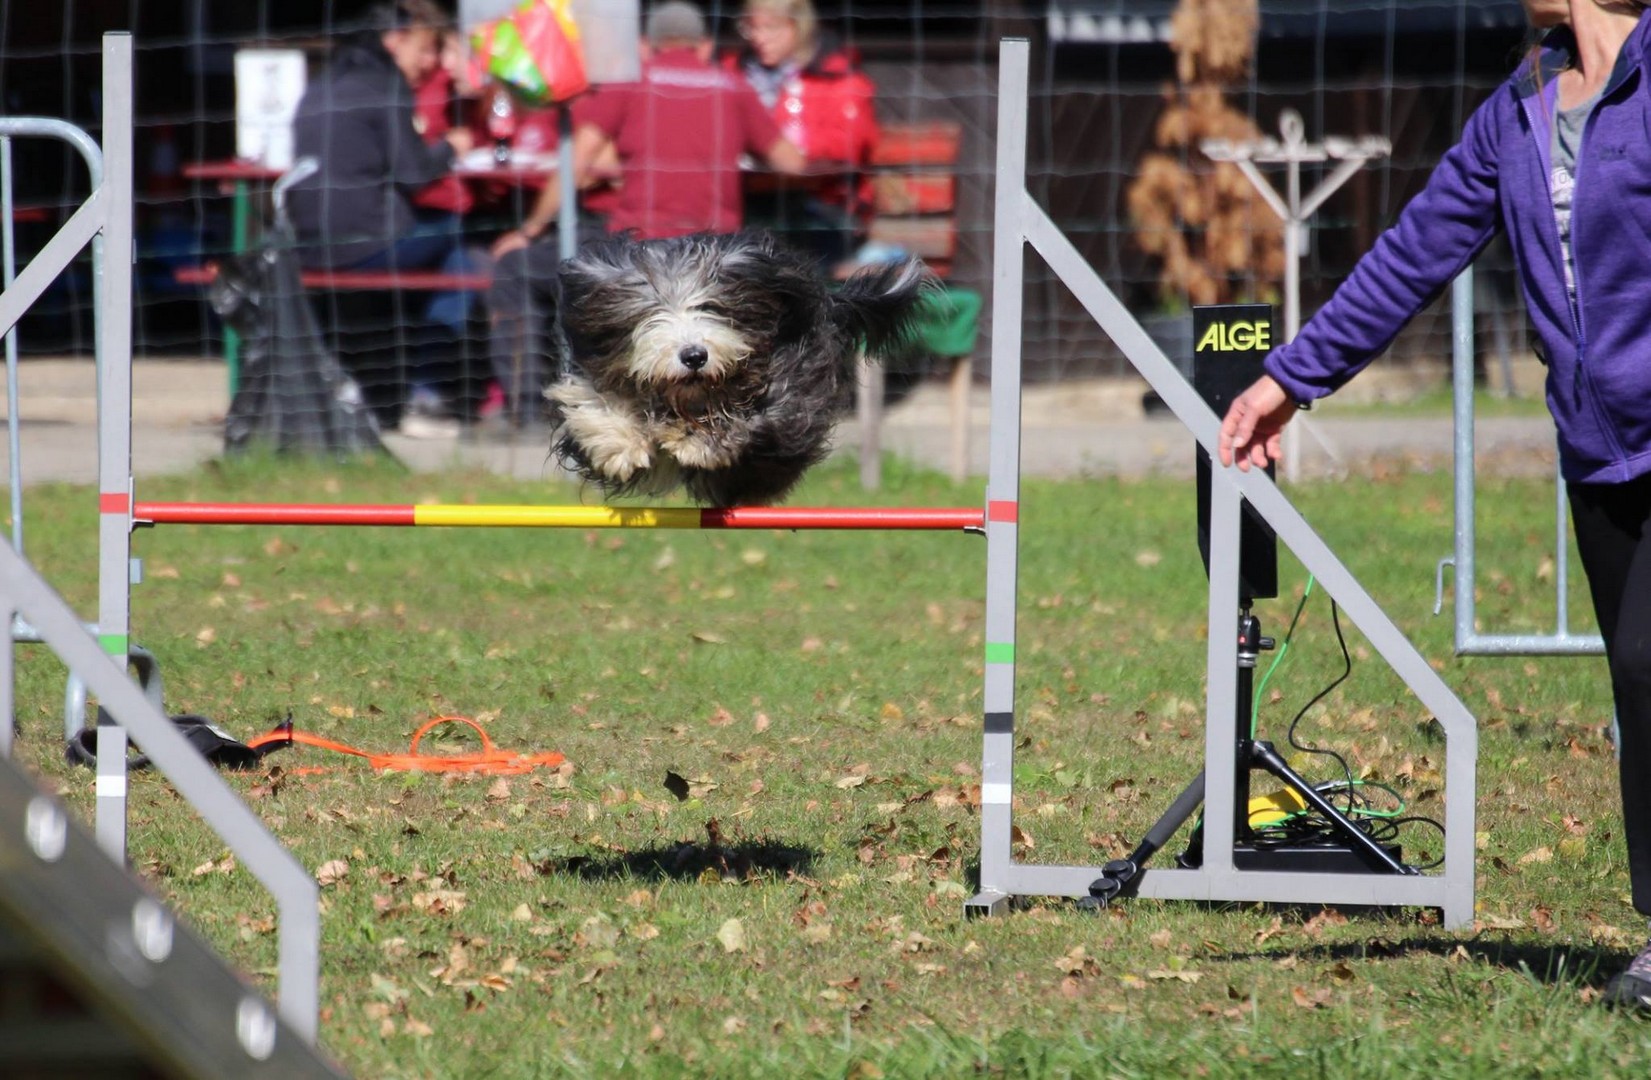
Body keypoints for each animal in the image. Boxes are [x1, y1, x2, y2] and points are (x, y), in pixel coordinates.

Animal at [546, 231, 937, 507]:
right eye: (652, 311)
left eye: (711, 306)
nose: (694, 356)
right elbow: (594, 405)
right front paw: (620, 446)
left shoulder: (789, 396)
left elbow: (750, 423)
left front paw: (693, 441)